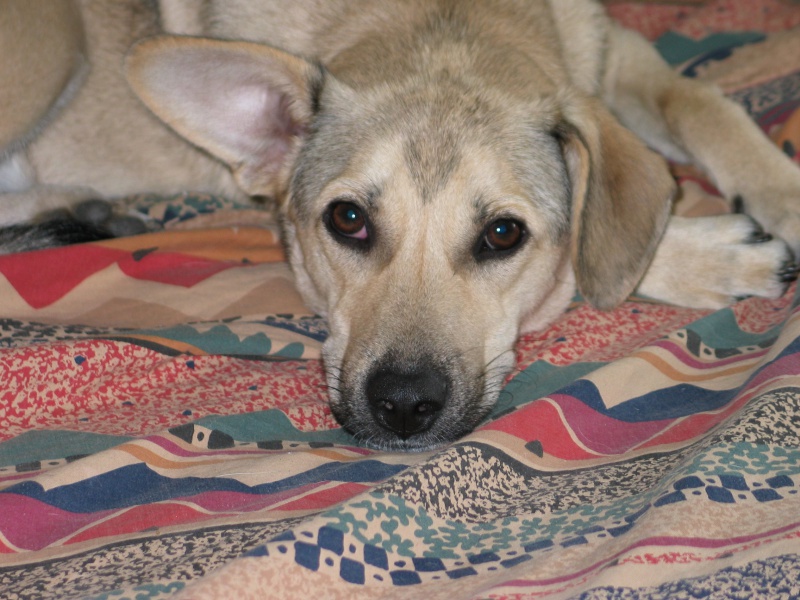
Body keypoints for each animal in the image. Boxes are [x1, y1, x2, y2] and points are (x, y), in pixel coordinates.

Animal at [1, 0, 800, 450]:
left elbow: (701, 105)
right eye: (348, 218)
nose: (404, 407)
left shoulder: (615, 53)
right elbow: (589, 252)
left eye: (502, 234)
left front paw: (781, 192)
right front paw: (716, 253)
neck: (440, 24)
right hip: (56, 40)